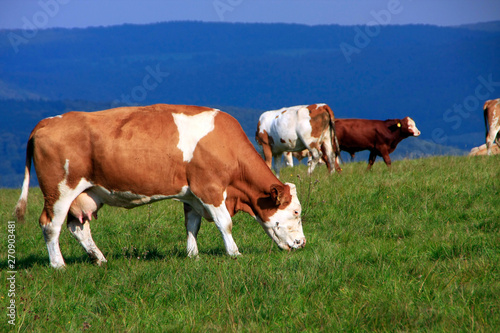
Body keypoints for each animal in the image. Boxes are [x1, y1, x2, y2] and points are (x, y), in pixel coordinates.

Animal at [14, 104, 304, 268]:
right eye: (296, 212)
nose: (302, 243)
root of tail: (47, 122)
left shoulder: (192, 195)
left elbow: (192, 225)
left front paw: (193, 255)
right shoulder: (209, 188)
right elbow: (225, 224)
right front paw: (235, 254)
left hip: (86, 194)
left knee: (78, 228)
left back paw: (100, 260)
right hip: (59, 192)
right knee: (50, 226)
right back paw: (58, 265)